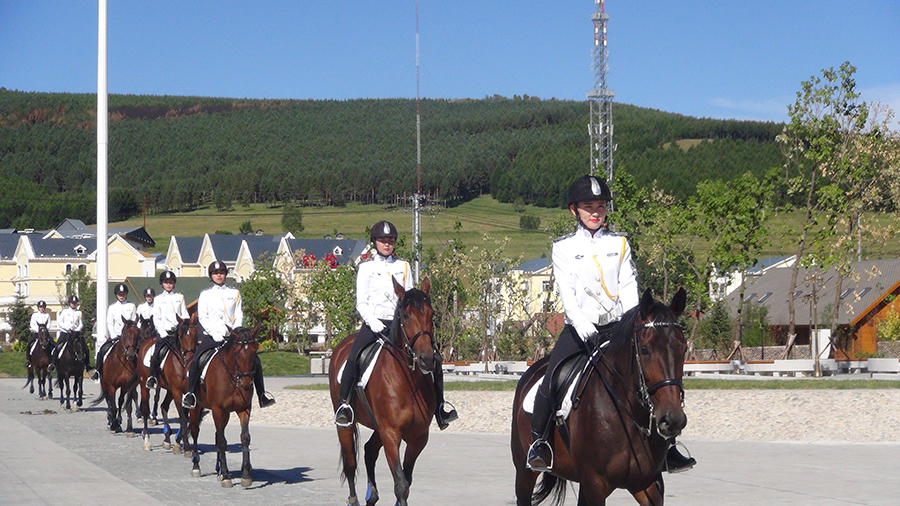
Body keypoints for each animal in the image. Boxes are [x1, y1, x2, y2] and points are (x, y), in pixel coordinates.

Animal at [186, 326, 262, 488]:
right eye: (237, 352)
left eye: (254, 351)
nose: (247, 383)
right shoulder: (218, 410)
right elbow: (222, 441)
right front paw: (227, 476)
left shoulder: (244, 409)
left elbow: (244, 437)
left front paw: (245, 475)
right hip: (196, 408)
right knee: (195, 432)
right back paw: (196, 467)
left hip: (225, 414)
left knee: (216, 435)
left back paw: (219, 470)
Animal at [328, 276, 438, 506]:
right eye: (405, 315)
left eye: (431, 314)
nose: (427, 359)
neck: (409, 381)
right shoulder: (391, 433)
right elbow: (401, 484)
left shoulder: (418, 436)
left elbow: (407, 479)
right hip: (346, 424)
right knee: (350, 462)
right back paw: (354, 499)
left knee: (369, 451)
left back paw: (372, 495)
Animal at [510, 288, 684, 506]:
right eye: (644, 350)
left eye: (684, 348)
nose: (673, 420)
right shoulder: (595, 483)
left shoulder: (647, 483)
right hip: (524, 472)